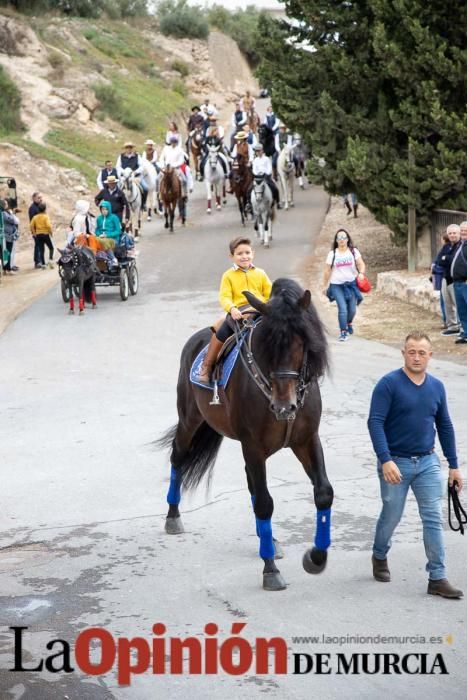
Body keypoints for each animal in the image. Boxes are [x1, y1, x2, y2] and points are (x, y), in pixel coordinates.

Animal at [159, 278, 334, 592]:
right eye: (266, 346)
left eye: (301, 344)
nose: (284, 406)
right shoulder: (253, 445)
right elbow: (264, 503)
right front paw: (270, 571)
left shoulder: (306, 440)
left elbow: (323, 493)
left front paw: (316, 558)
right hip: (190, 420)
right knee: (178, 457)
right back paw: (173, 517)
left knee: (252, 485)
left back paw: (270, 540)